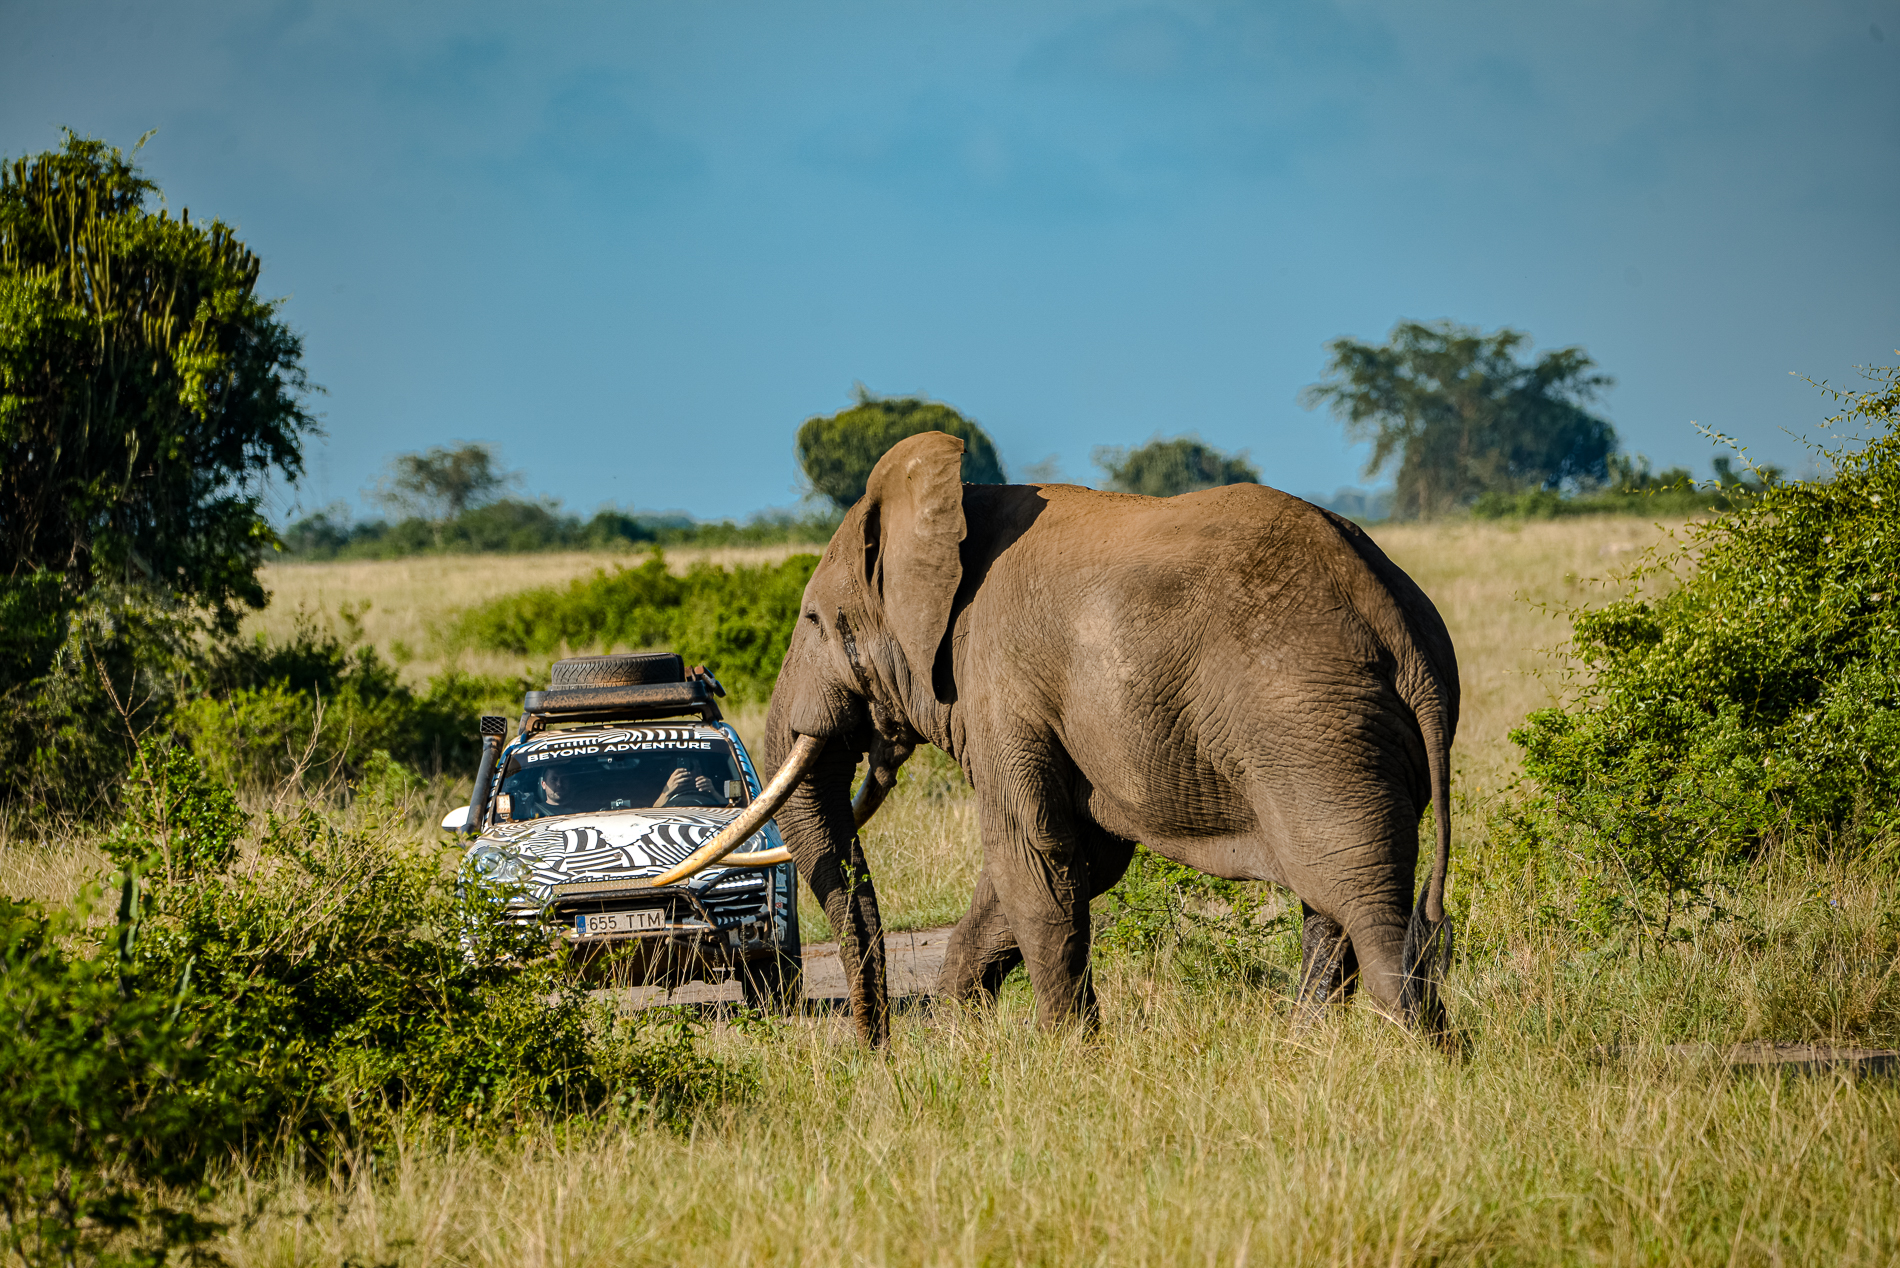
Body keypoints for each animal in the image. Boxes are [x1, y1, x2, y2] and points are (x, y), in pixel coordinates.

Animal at [649, 431, 1451, 1049]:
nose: (877, 1052)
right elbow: (1063, 867)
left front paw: (1066, 1054)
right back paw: (1309, 1048)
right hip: (1342, 735)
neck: (951, 510)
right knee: (1334, 907)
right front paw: (961, 1043)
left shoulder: (1000, 684)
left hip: (1312, 726)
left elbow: (1033, 861)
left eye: (816, 621)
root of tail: (1399, 621)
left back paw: (1417, 1057)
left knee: (1360, 900)